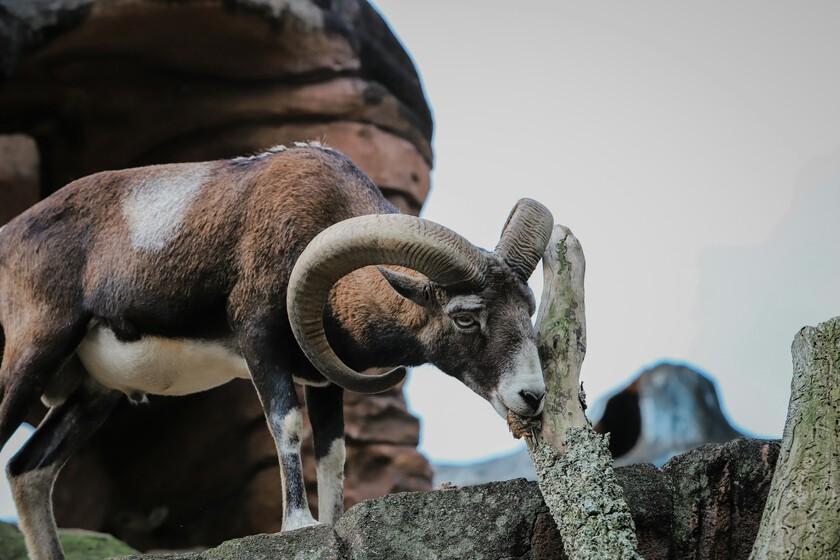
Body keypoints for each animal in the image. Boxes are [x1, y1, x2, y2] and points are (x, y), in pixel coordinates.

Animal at [0, 143, 553, 560]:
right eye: (465, 317)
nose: (531, 397)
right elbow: (286, 425)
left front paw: (329, 522)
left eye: (527, 308)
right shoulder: (260, 346)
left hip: (94, 396)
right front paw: (298, 524)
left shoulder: (327, 381)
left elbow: (333, 452)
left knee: (27, 471)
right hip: (32, 355)